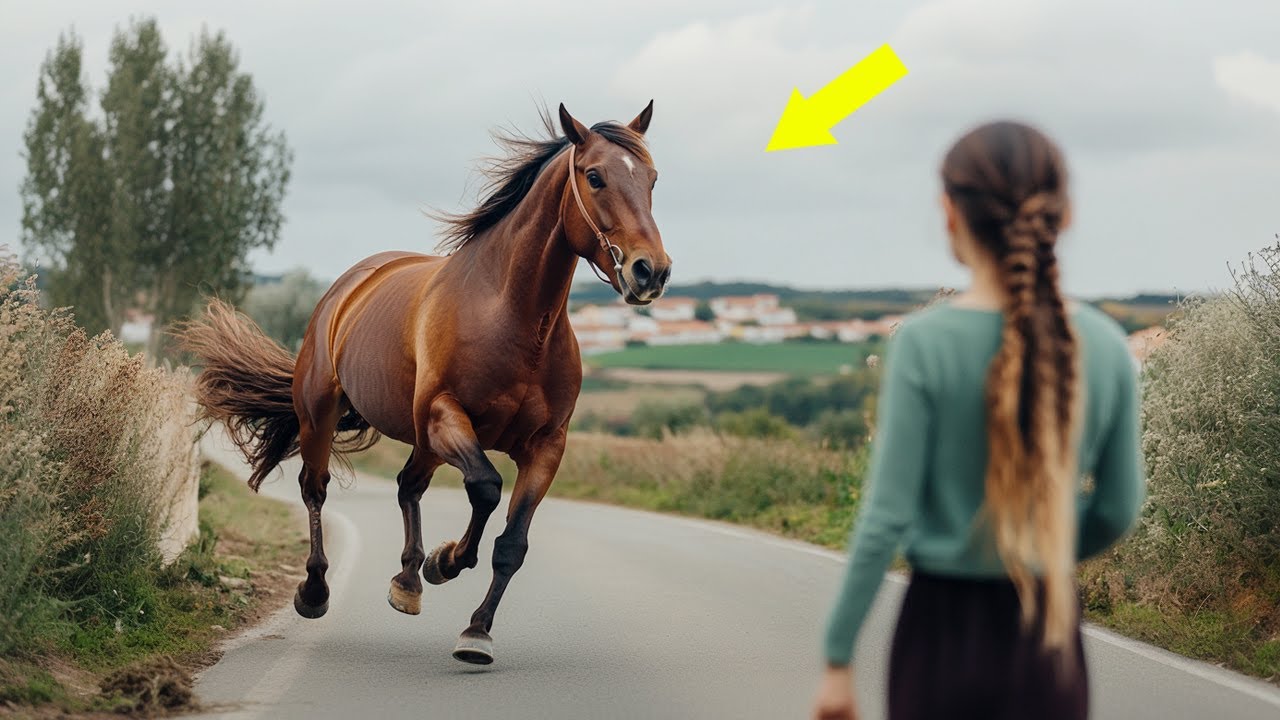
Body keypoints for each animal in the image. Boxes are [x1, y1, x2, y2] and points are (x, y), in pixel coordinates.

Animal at [177, 102, 670, 664]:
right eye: (594, 177)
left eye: (652, 179)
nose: (650, 272)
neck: (513, 319)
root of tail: (350, 286)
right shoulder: (444, 416)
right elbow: (486, 488)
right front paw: (448, 561)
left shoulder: (546, 447)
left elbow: (511, 544)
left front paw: (475, 629)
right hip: (323, 415)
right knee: (315, 488)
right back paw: (317, 590)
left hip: (424, 441)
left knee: (407, 486)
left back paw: (409, 580)